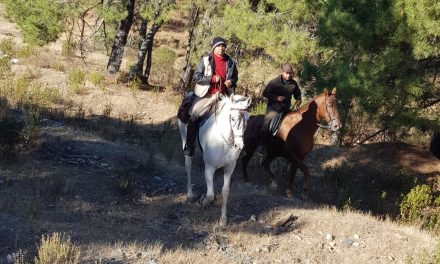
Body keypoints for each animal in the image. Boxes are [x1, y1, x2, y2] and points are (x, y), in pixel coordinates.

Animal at [178, 94, 251, 226]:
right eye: (233, 118)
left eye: (247, 119)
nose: (239, 146)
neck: (224, 140)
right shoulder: (210, 167)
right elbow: (210, 194)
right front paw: (202, 201)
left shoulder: (229, 168)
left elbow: (225, 191)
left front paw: (223, 219)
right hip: (184, 138)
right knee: (188, 166)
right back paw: (190, 194)